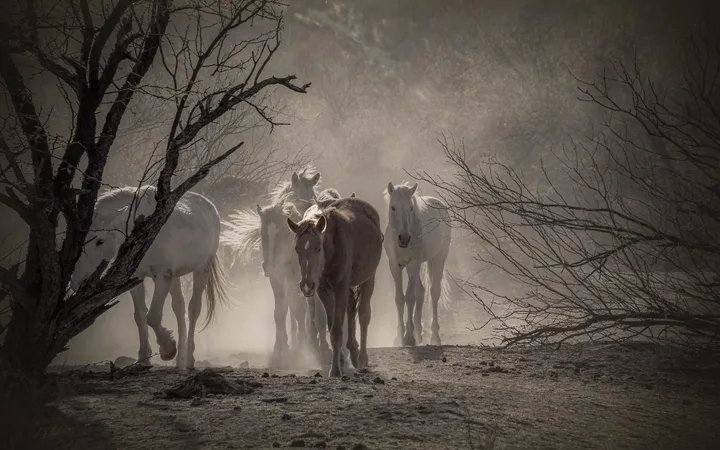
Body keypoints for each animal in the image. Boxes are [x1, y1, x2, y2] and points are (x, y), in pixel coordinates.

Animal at [70, 185, 230, 370]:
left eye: (100, 241)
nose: (77, 282)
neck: (143, 232)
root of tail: (210, 206)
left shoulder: (162, 275)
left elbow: (153, 316)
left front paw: (168, 349)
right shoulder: (136, 279)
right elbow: (140, 316)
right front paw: (144, 358)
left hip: (201, 269)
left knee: (193, 309)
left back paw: (189, 358)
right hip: (174, 276)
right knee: (179, 307)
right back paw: (180, 359)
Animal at [287, 196, 384, 377]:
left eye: (318, 248)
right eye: (297, 249)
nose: (306, 285)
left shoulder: (340, 288)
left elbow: (337, 330)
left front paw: (336, 370)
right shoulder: (323, 291)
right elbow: (333, 326)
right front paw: (341, 362)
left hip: (369, 279)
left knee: (363, 315)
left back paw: (362, 358)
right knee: (351, 309)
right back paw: (353, 352)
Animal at [383, 181, 452, 347]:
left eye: (410, 208)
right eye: (393, 207)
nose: (404, 238)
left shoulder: (413, 264)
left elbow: (409, 297)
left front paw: (409, 337)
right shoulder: (394, 265)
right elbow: (399, 298)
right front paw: (399, 337)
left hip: (438, 260)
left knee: (434, 292)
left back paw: (434, 337)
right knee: (421, 291)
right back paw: (419, 332)